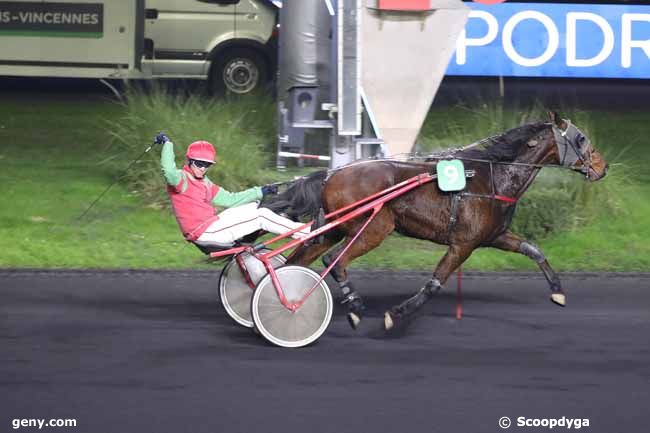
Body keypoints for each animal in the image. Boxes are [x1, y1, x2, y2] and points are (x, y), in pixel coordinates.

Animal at [262, 113, 608, 330]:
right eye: (581, 138)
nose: (602, 167)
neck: (493, 178)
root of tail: (331, 175)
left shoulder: (493, 235)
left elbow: (534, 250)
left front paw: (558, 291)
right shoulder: (463, 244)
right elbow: (434, 283)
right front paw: (396, 315)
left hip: (333, 229)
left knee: (298, 260)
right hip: (374, 228)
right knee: (335, 260)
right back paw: (354, 306)